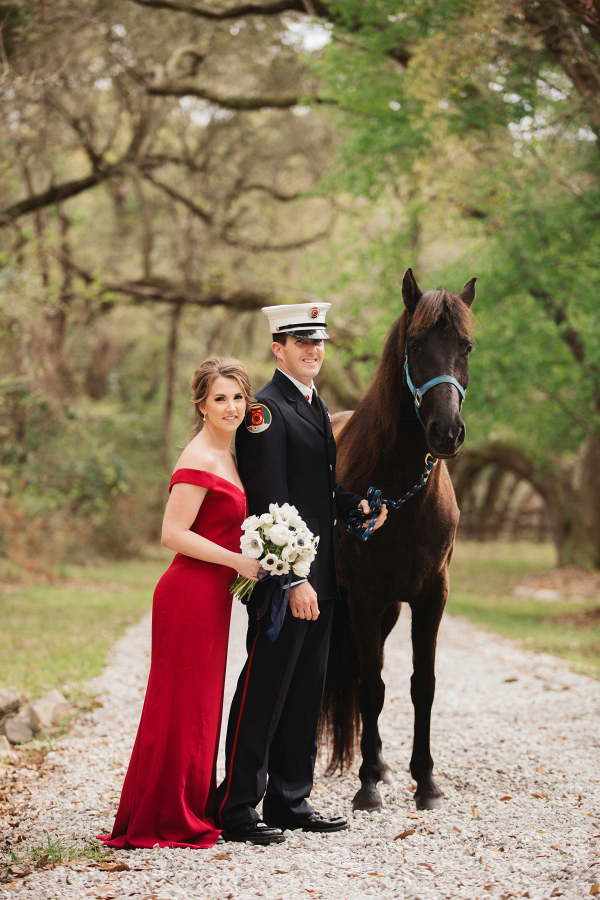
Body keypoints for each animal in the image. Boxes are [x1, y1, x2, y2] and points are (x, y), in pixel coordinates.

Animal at [322, 270, 476, 812]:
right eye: (415, 345)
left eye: (466, 347)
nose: (446, 433)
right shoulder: (365, 597)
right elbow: (371, 687)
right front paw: (366, 785)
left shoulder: (431, 596)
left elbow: (420, 685)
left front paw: (424, 781)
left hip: (387, 612)